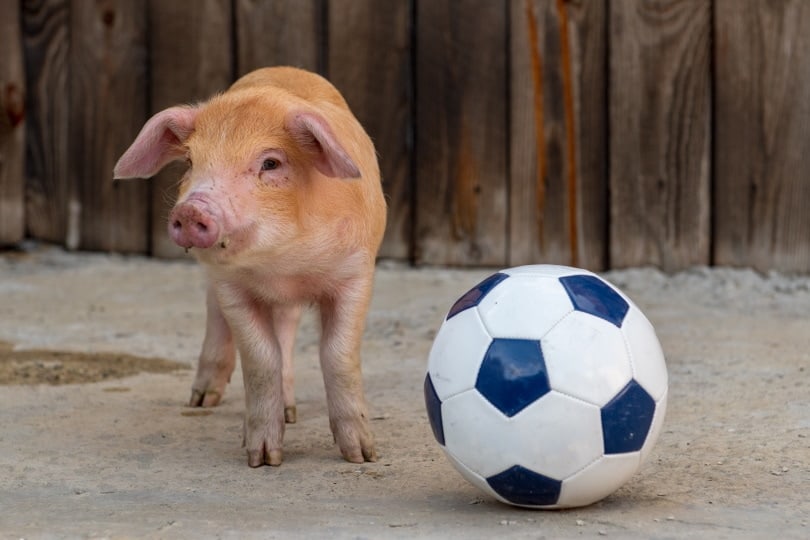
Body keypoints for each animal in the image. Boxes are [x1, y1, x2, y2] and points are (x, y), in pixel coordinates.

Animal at [113, 67, 386, 467]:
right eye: (190, 161)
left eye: (270, 163)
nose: (191, 209)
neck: (283, 266)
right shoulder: (231, 286)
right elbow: (260, 359)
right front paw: (262, 459)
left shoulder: (356, 274)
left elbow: (337, 354)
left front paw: (362, 456)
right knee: (217, 316)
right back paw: (200, 402)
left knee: (287, 326)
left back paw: (291, 412)